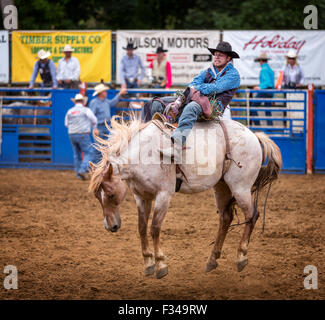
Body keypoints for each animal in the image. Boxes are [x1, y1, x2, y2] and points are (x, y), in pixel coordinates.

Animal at [87, 116, 280, 278]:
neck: (145, 154)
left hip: (241, 187)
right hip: (221, 186)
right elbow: (142, 228)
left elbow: (154, 228)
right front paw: (148, 263)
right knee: (226, 218)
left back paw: (241, 256)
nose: (111, 226)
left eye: (111, 194)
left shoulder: (164, 195)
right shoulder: (142, 197)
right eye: (97, 197)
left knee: (252, 216)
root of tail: (254, 135)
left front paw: (161, 265)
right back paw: (212, 260)